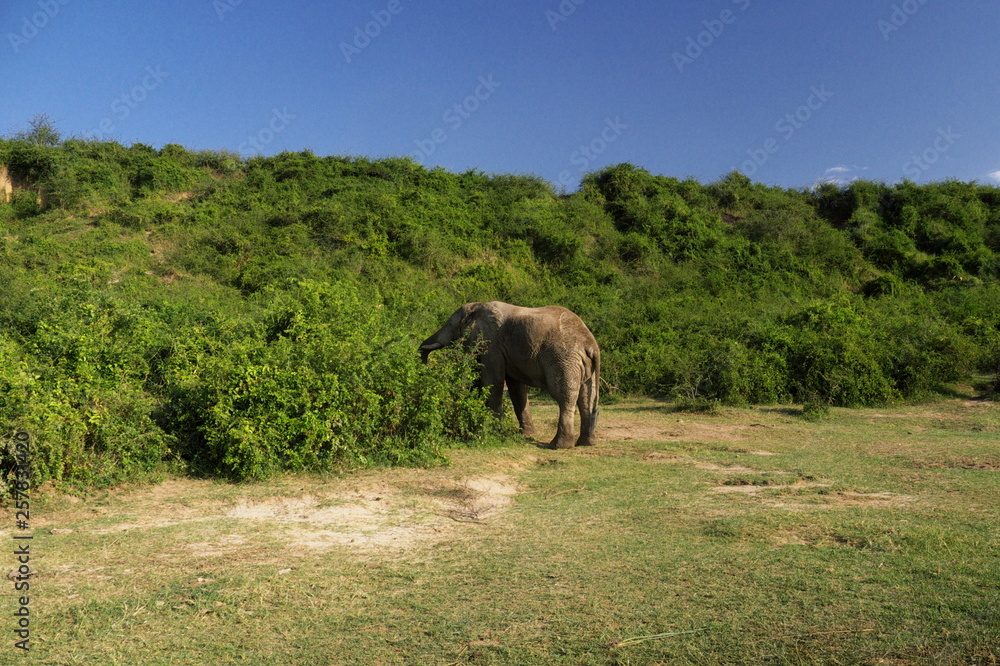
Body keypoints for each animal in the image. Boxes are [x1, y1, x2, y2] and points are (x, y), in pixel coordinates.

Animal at [419, 301, 600, 449]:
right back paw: (586, 443)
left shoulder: (492, 343)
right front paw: (526, 435)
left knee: (564, 397)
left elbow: (493, 382)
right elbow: (516, 389)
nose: (424, 363)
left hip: (563, 360)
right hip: (583, 365)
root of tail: (591, 345)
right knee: (586, 398)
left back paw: (558, 446)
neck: (478, 306)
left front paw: (493, 433)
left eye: (451, 324)